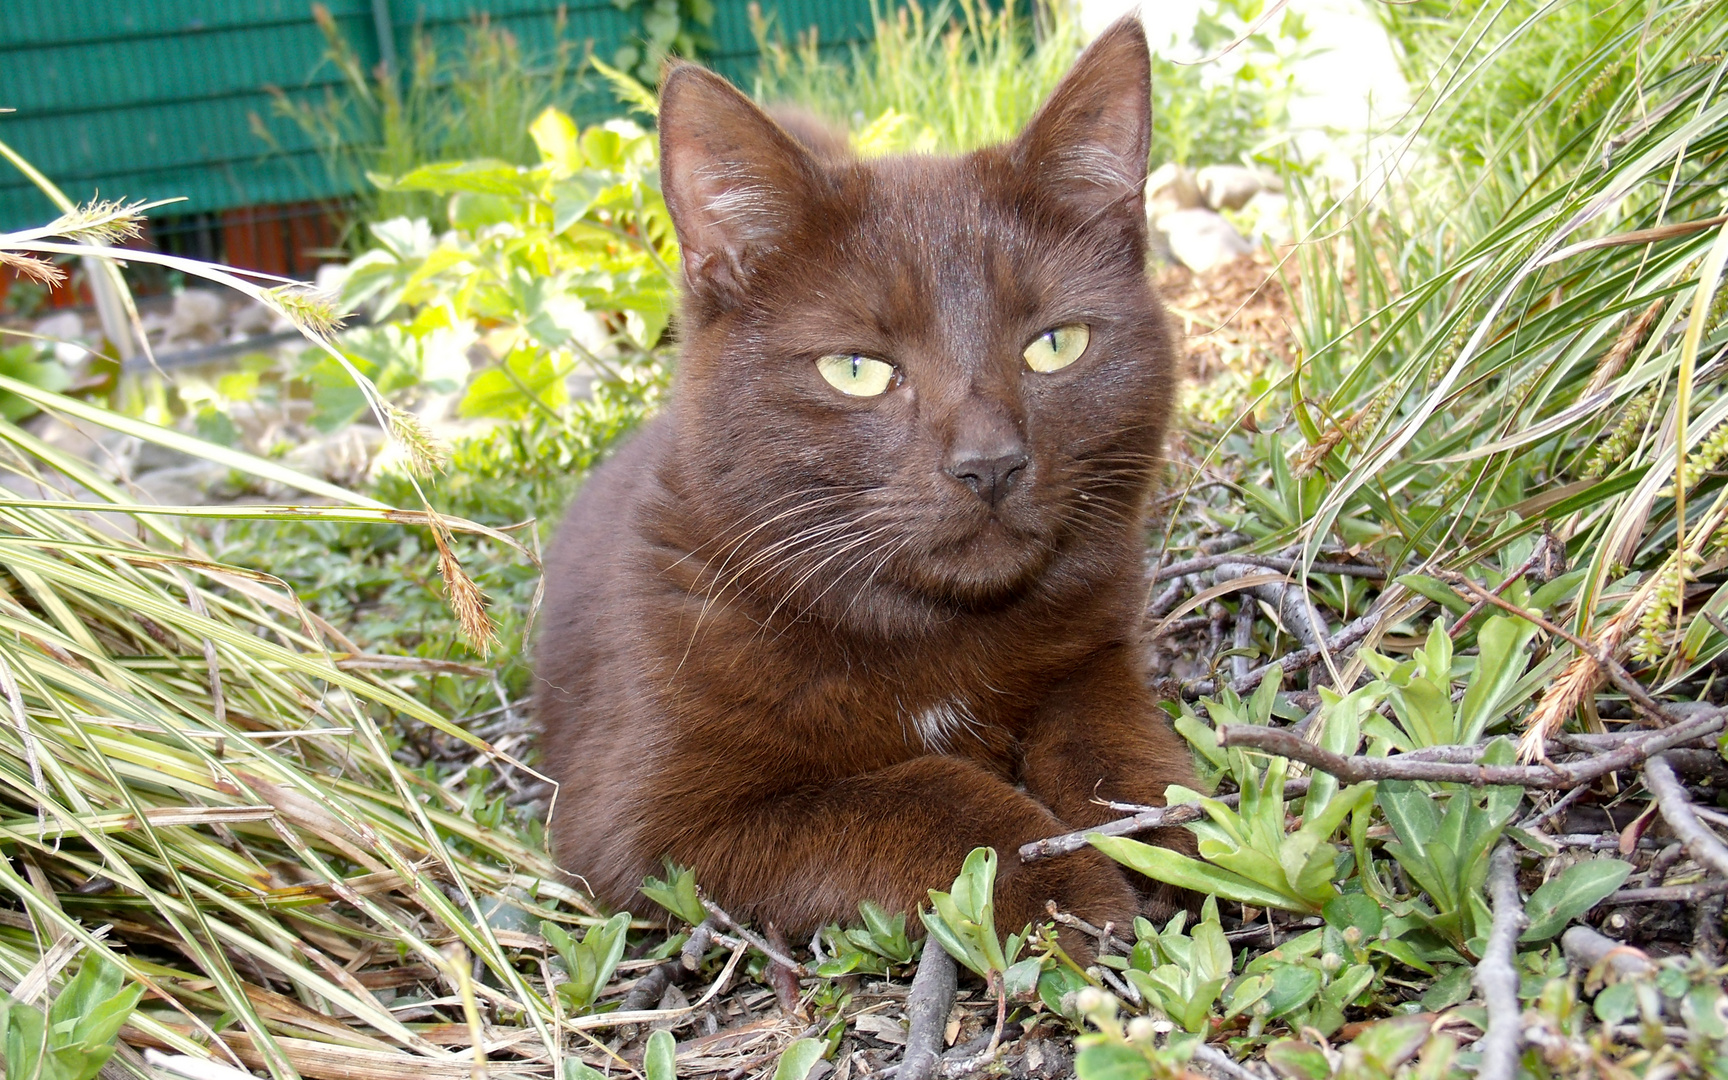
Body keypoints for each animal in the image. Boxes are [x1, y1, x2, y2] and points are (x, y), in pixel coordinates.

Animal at [532, 16, 1195, 940]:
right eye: (857, 370)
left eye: (1055, 345)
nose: (990, 464)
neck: (938, 634)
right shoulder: (646, 822)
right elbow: (920, 794)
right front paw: (1062, 887)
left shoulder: (1097, 646)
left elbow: (1109, 727)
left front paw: (1171, 832)